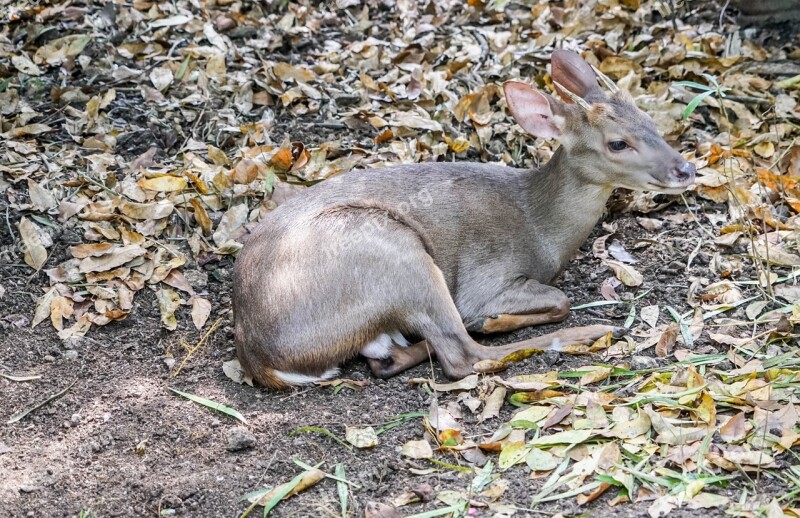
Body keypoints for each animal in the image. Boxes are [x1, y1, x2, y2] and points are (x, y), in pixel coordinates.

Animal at [231, 50, 692, 390]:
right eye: (618, 143)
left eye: (651, 122)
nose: (685, 169)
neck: (540, 229)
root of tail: (261, 359)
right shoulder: (485, 277)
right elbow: (559, 300)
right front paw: (497, 318)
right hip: (394, 251)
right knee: (463, 355)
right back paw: (584, 333)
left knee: (394, 356)